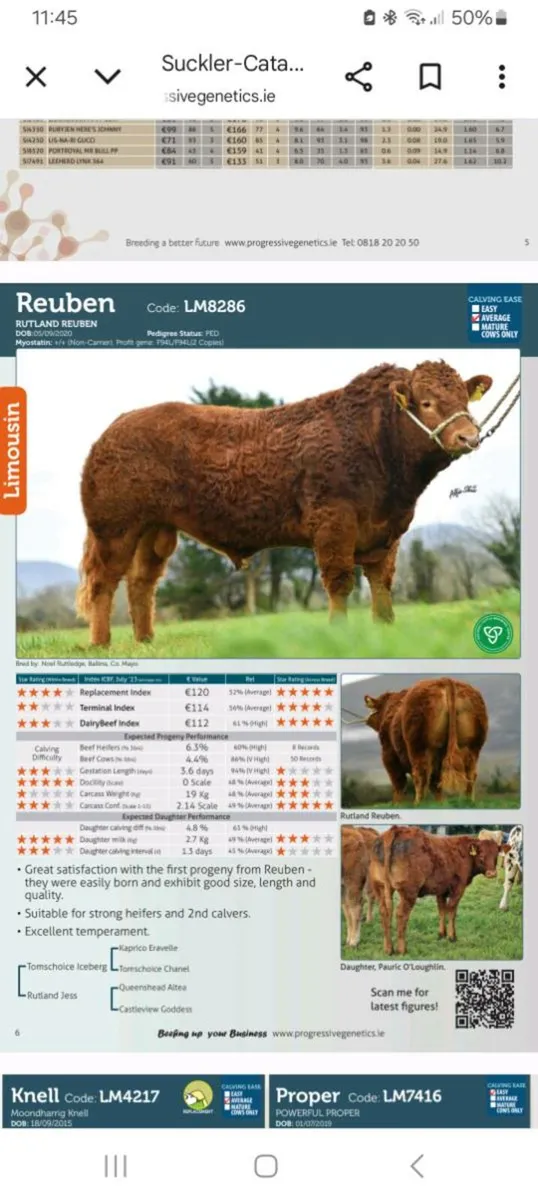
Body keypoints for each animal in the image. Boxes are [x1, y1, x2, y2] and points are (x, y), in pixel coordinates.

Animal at [76, 360, 492, 645]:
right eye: (426, 402)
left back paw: (145, 639)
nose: (469, 437)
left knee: (141, 582)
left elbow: (381, 581)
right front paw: (339, 633)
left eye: (464, 400)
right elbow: (339, 581)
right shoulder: (333, 522)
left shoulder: (387, 530)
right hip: (115, 528)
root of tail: (115, 427)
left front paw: (384, 628)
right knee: (104, 582)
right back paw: (101, 643)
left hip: (156, 530)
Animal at [369, 825, 501, 955]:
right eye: (481, 855)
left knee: (384, 912)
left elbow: (442, 910)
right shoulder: (458, 888)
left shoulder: (441, 889)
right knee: (401, 914)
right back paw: (402, 949)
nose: (492, 873)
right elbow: (451, 911)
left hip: (380, 887)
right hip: (409, 892)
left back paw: (388, 949)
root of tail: (395, 829)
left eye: (496, 856)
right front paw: (452, 936)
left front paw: (441, 934)